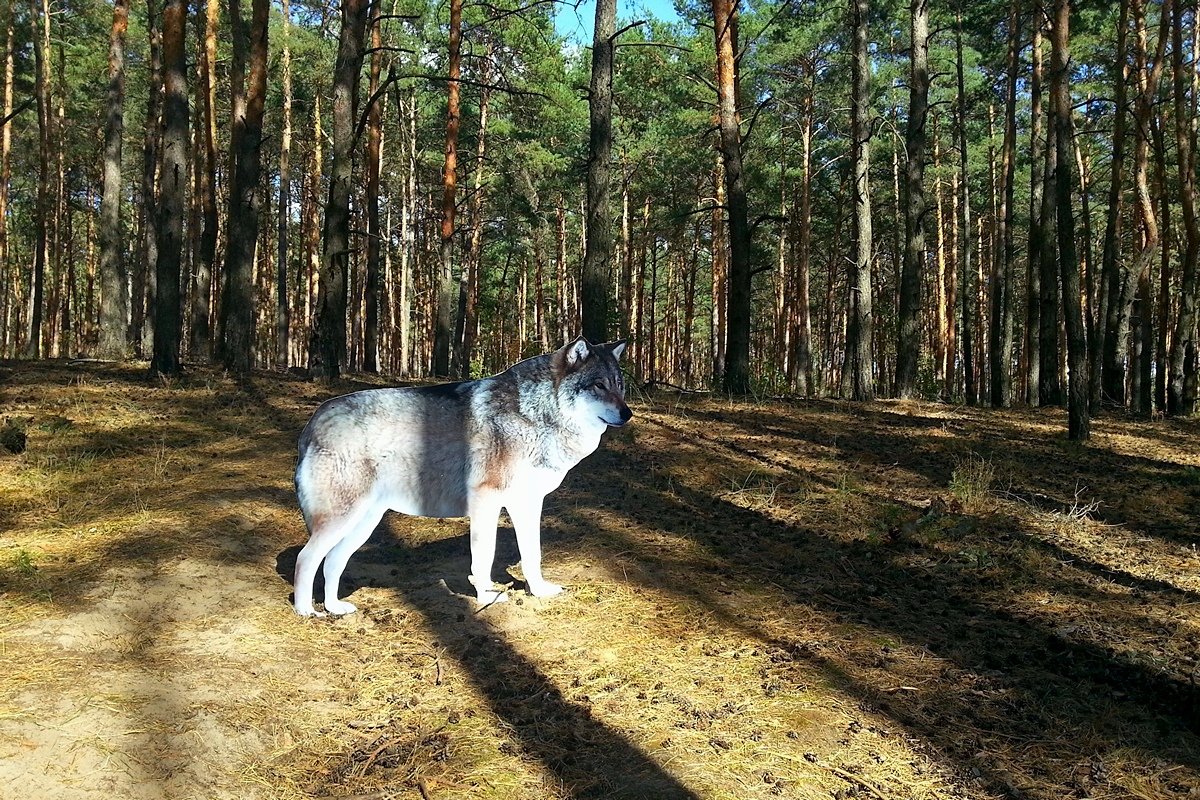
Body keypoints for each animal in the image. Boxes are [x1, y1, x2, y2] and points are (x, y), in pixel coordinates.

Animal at [292, 335, 628, 618]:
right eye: (598, 386)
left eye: (619, 385)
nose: (628, 414)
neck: (536, 415)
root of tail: (315, 419)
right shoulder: (486, 501)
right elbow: (484, 556)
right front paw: (486, 596)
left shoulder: (527, 505)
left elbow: (533, 555)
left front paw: (539, 591)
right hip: (342, 520)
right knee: (306, 559)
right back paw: (305, 611)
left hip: (363, 524)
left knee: (332, 563)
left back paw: (335, 608)